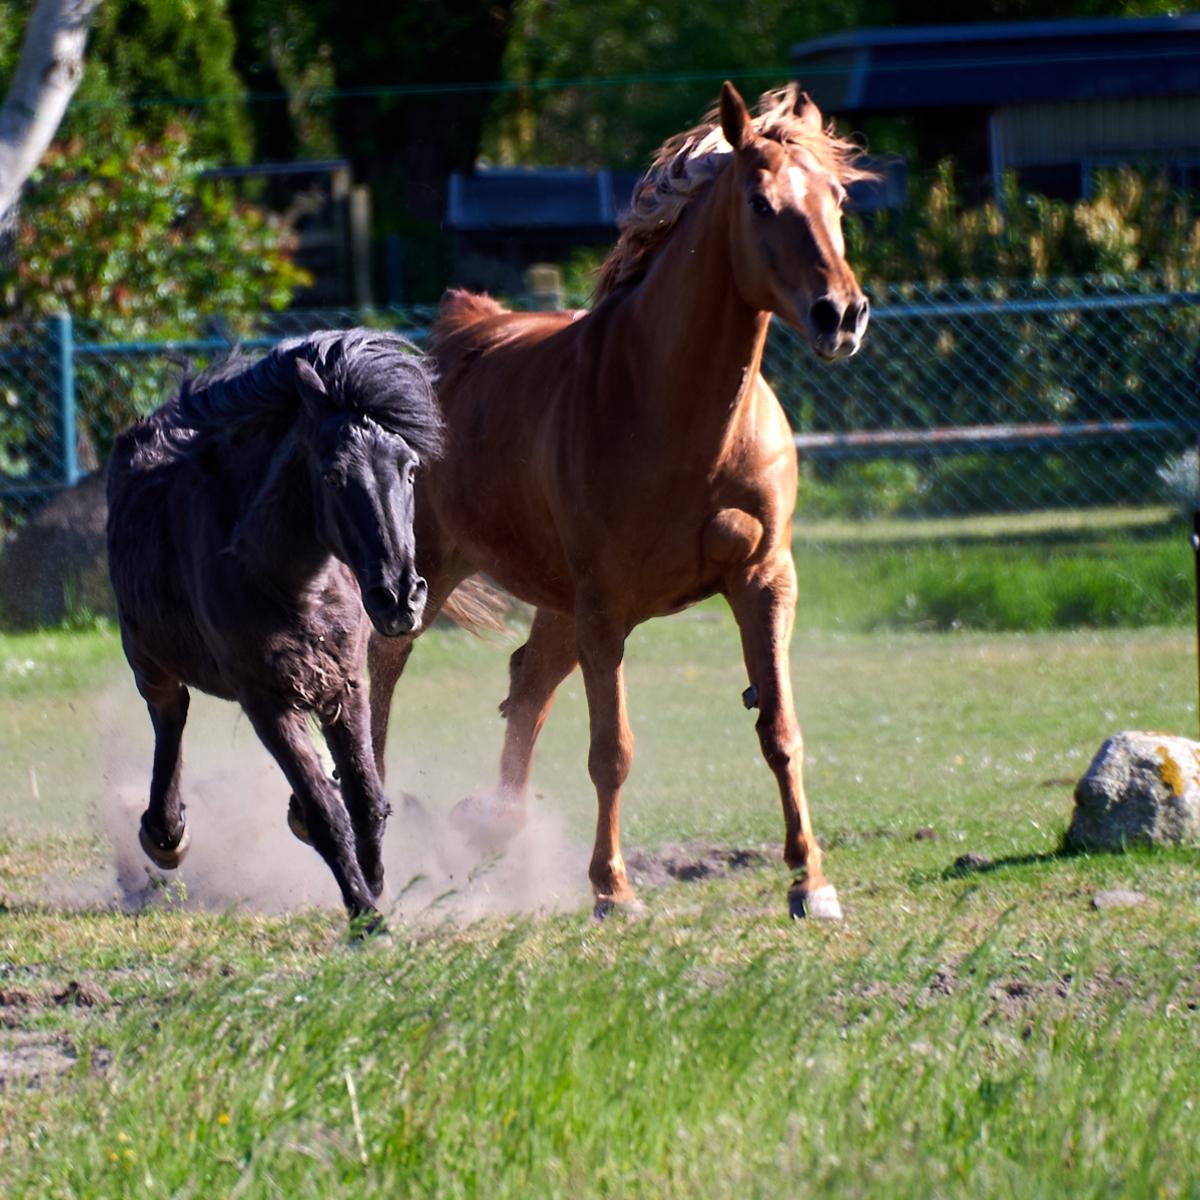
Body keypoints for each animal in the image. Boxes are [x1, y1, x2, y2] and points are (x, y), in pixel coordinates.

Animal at [106, 329, 444, 930]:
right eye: (332, 474)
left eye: (408, 469)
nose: (399, 597)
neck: (288, 577)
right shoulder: (266, 699)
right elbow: (326, 810)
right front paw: (364, 915)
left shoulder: (345, 683)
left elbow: (364, 796)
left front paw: (375, 881)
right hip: (147, 658)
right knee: (170, 713)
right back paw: (165, 835)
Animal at [368, 82, 872, 921]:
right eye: (760, 202)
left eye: (836, 199)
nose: (842, 314)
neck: (671, 410)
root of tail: (456, 337)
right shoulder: (606, 605)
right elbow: (612, 751)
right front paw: (613, 888)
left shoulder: (764, 581)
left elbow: (781, 730)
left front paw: (812, 882)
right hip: (433, 577)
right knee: (382, 673)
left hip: (559, 601)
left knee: (527, 682)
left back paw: (491, 823)